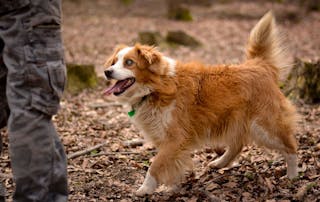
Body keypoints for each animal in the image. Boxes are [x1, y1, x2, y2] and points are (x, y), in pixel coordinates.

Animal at [102, 11, 298, 196]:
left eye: (129, 62)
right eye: (114, 62)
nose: (107, 72)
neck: (156, 88)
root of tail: (258, 64)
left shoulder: (175, 138)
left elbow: (156, 164)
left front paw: (145, 188)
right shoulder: (166, 139)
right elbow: (169, 164)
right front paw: (172, 186)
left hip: (264, 126)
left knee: (291, 146)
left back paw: (293, 175)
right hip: (233, 120)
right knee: (238, 144)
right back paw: (220, 163)